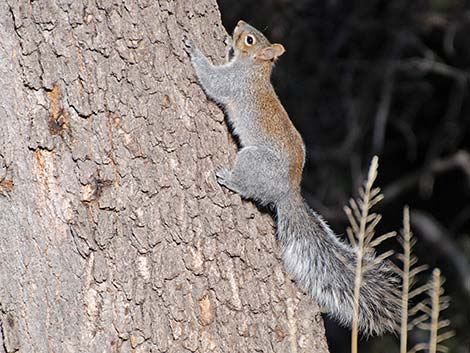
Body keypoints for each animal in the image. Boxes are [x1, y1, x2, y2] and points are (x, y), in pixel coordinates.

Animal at [185, 20, 398, 334]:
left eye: (250, 39)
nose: (237, 25)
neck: (255, 69)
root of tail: (287, 192)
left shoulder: (234, 83)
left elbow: (212, 81)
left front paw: (195, 50)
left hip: (253, 161)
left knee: (247, 188)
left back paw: (229, 179)